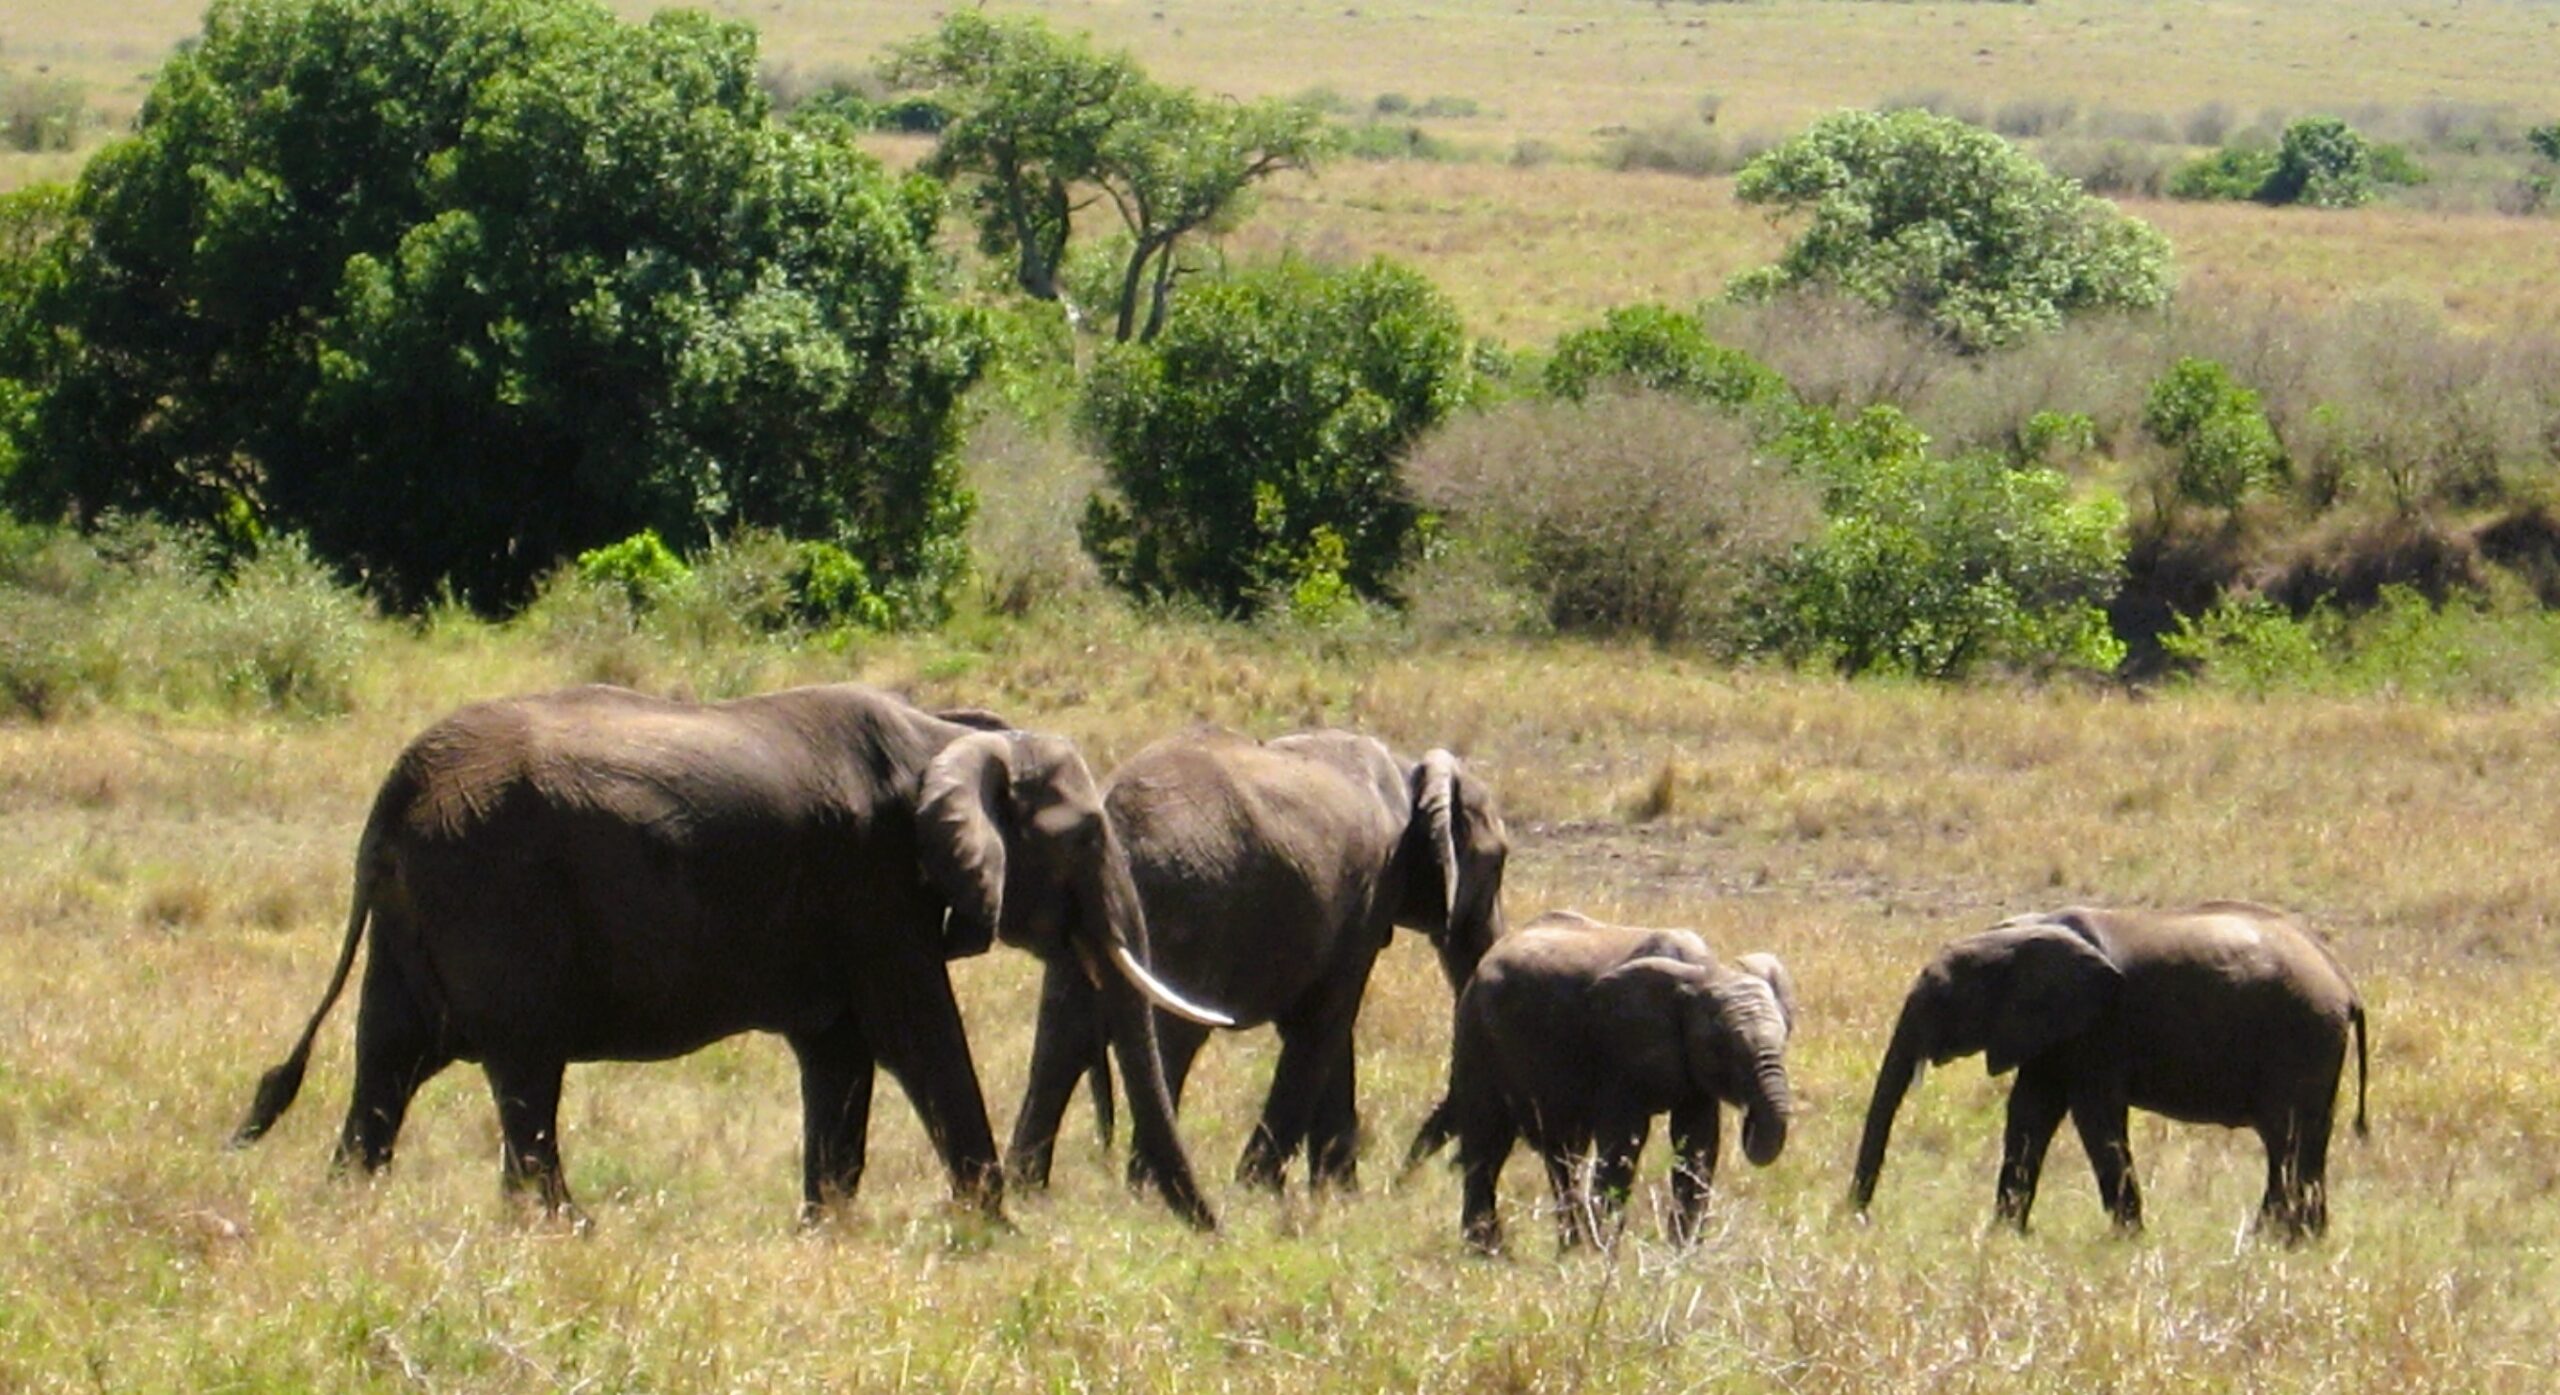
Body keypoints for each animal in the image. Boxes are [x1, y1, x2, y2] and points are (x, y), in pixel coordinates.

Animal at [230, 682, 1231, 1229]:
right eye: (1087, 839)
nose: (1212, 1229)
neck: (951, 738)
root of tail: (396, 789)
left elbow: (841, 1056)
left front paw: (828, 1227)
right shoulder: (872, 890)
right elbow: (919, 1036)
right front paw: (995, 1229)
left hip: (420, 912)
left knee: (387, 1061)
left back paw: (352, 1206)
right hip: (493, 892)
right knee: (522, 1068)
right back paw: (570, 1226)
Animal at [1004, 726, 1509, 1195]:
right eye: (1500, 861)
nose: (1404, 1177)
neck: (1413, 773)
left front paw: (1334, 1196)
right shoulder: (1370, 896)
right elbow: (1324, 1025)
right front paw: (1261, 1190)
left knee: (1062, 1035)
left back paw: (1030, 1191)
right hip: (1189, 901)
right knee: (1171, 1038)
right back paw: (1146, 1193)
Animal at [1406, 910, 1797, 1253]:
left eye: (1784, 1040)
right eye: (1722, 1048)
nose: (1750, 1118)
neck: (1706, 972)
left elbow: (1698, 1145)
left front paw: (1682, 1255)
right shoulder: (1617, 1051)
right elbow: (1623, 1145)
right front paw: (1607, 1254)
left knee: (1561, 1154)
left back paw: (1567, 1248)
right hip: (1477, 1034)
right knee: (1487, 1144)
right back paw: (1488, 1252)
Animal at [1850, 901, 2369, 1239]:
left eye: (1941, 1000)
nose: (1860, 1220)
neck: (2014, 936)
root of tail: (2345, 983)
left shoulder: (2097, 1029)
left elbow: (2093, 1115)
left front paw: (2129, 1240)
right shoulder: (2052, 1031)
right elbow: (2029, 1113)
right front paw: (2004, 1235)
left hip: (2300, 1037)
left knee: (2286, 1139)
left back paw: (2267, 1238)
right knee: (2304, 1141)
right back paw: (2300, 1240)